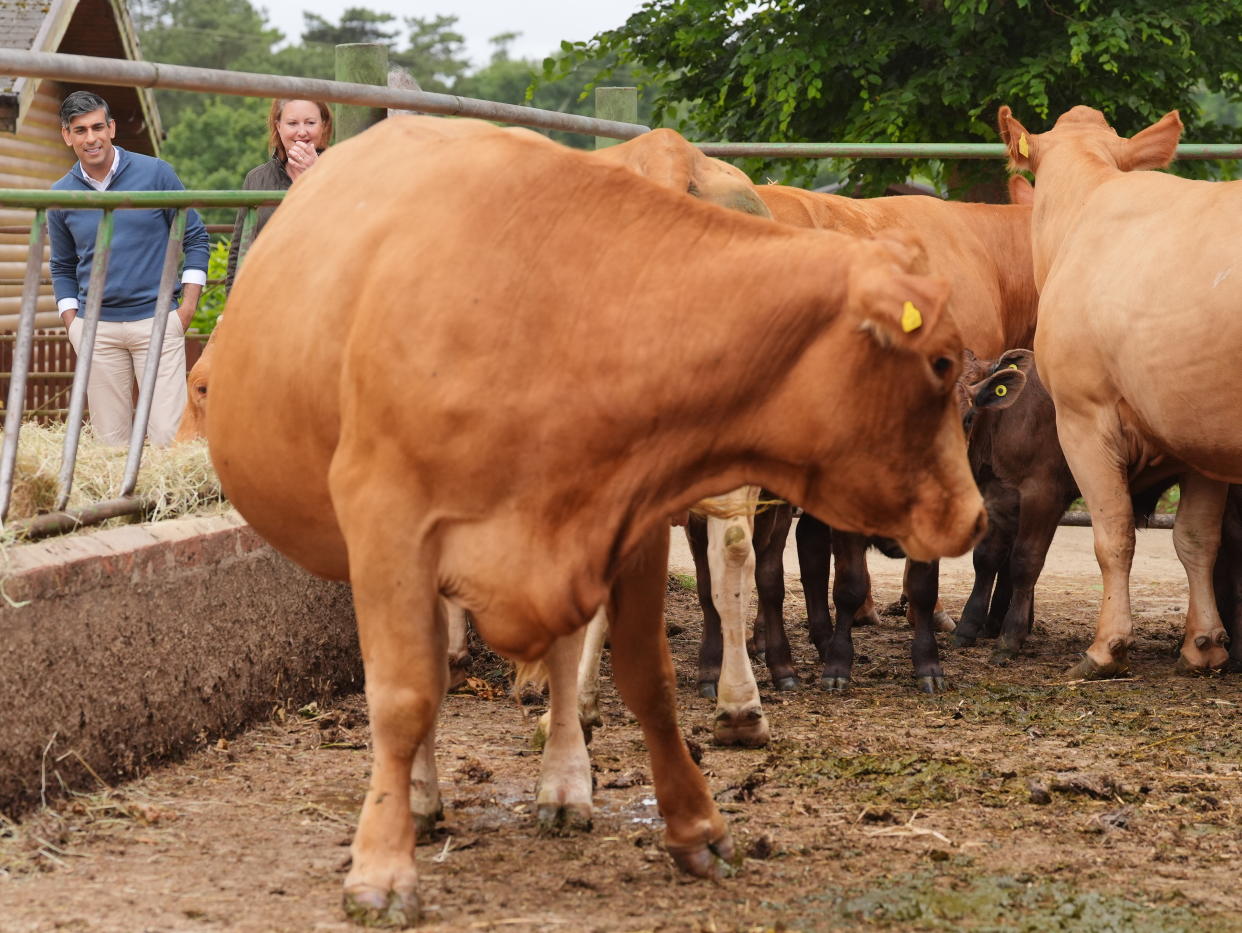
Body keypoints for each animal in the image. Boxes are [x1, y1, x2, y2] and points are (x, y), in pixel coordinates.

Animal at [206, 113, 988, 924]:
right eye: (939, 362)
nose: (974, 515)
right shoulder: (392, 529)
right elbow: (404, 693)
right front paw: (385, 861)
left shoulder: (620, 525)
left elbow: (645, 675)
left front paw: (695, 824)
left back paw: (568, 770)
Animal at [998, 105, 1242, 680]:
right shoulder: (1197, 431)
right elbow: (1197, 537)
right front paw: (1203, 644)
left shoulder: (1082, 418)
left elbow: (1114, 535)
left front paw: (1106, 647)